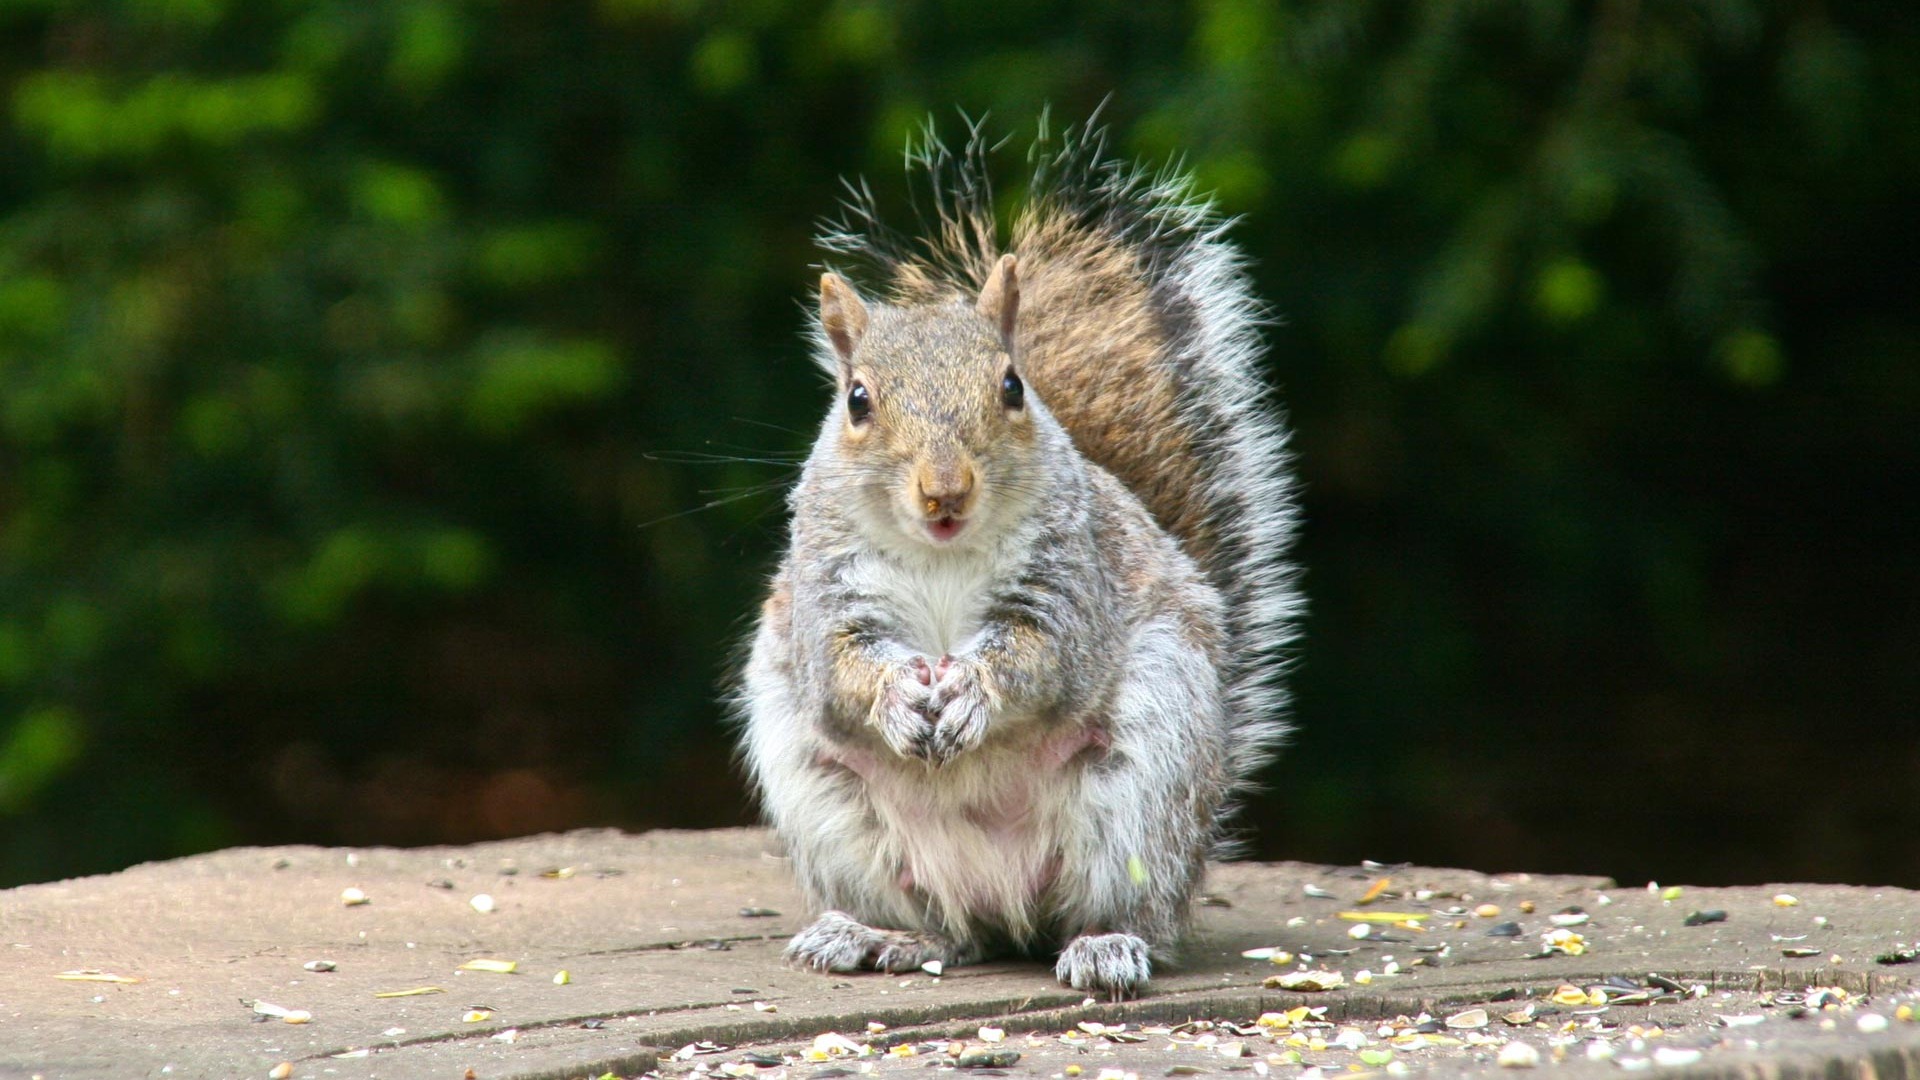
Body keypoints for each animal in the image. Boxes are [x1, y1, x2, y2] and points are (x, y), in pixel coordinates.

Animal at [737, 122, 1305, 999]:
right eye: (856, 401)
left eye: (1012, 386)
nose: (945, 492)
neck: (941, 554)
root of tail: (1001, 897)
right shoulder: (826, 596)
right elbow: (840, 672)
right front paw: (900, 695)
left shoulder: (1070, 580)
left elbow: (1042, 658)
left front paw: (970, 689)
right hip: (830, 807)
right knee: (954, 933)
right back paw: (874, 934)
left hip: (1144, 788)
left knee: (1116, 911)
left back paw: (1106, 946)